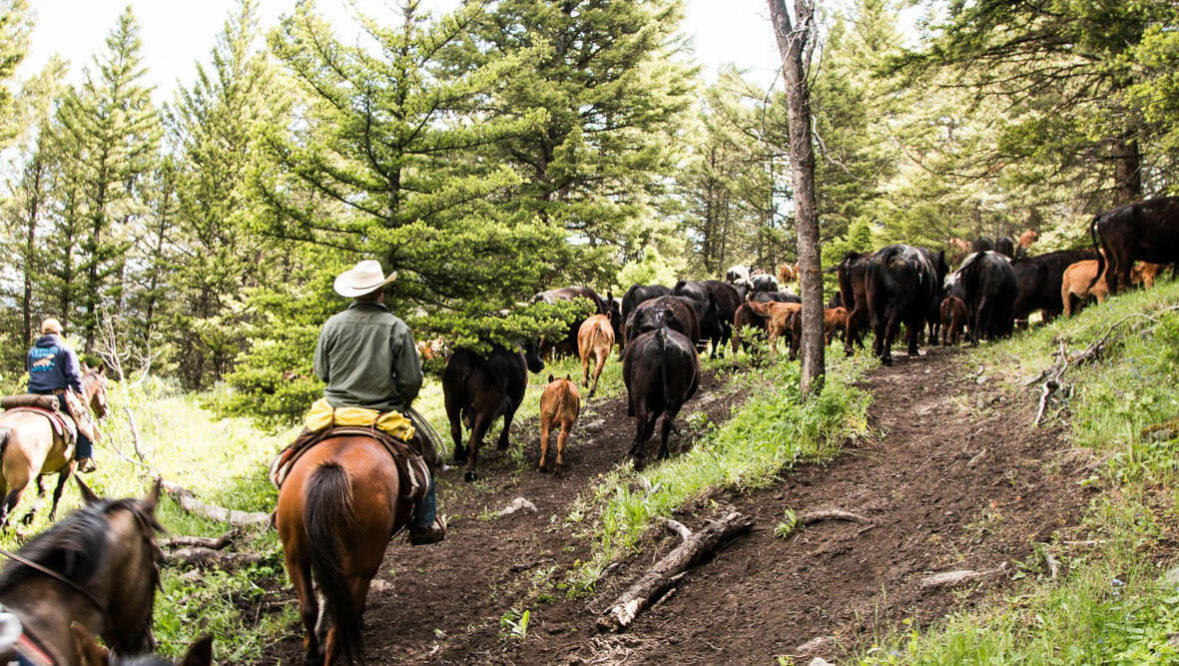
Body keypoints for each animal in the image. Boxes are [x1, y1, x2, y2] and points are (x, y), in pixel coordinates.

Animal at [443, 342, 545, 482]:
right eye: (535, 348)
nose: (542, 363)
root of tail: (469, 359)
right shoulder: (515, 400)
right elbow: (508, 420)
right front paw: (503, 443)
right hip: (485, 411)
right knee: (476, 437)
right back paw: (470, 471)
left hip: (451, 403)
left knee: (456, 431)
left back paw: (459, 455)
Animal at [622, 328, 700, 469]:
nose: (629, 411)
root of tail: (662, 335)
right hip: (675, 397)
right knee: (665, 421)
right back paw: (661, 453)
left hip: (640, 392)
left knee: (644, 418)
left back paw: (641, 453)